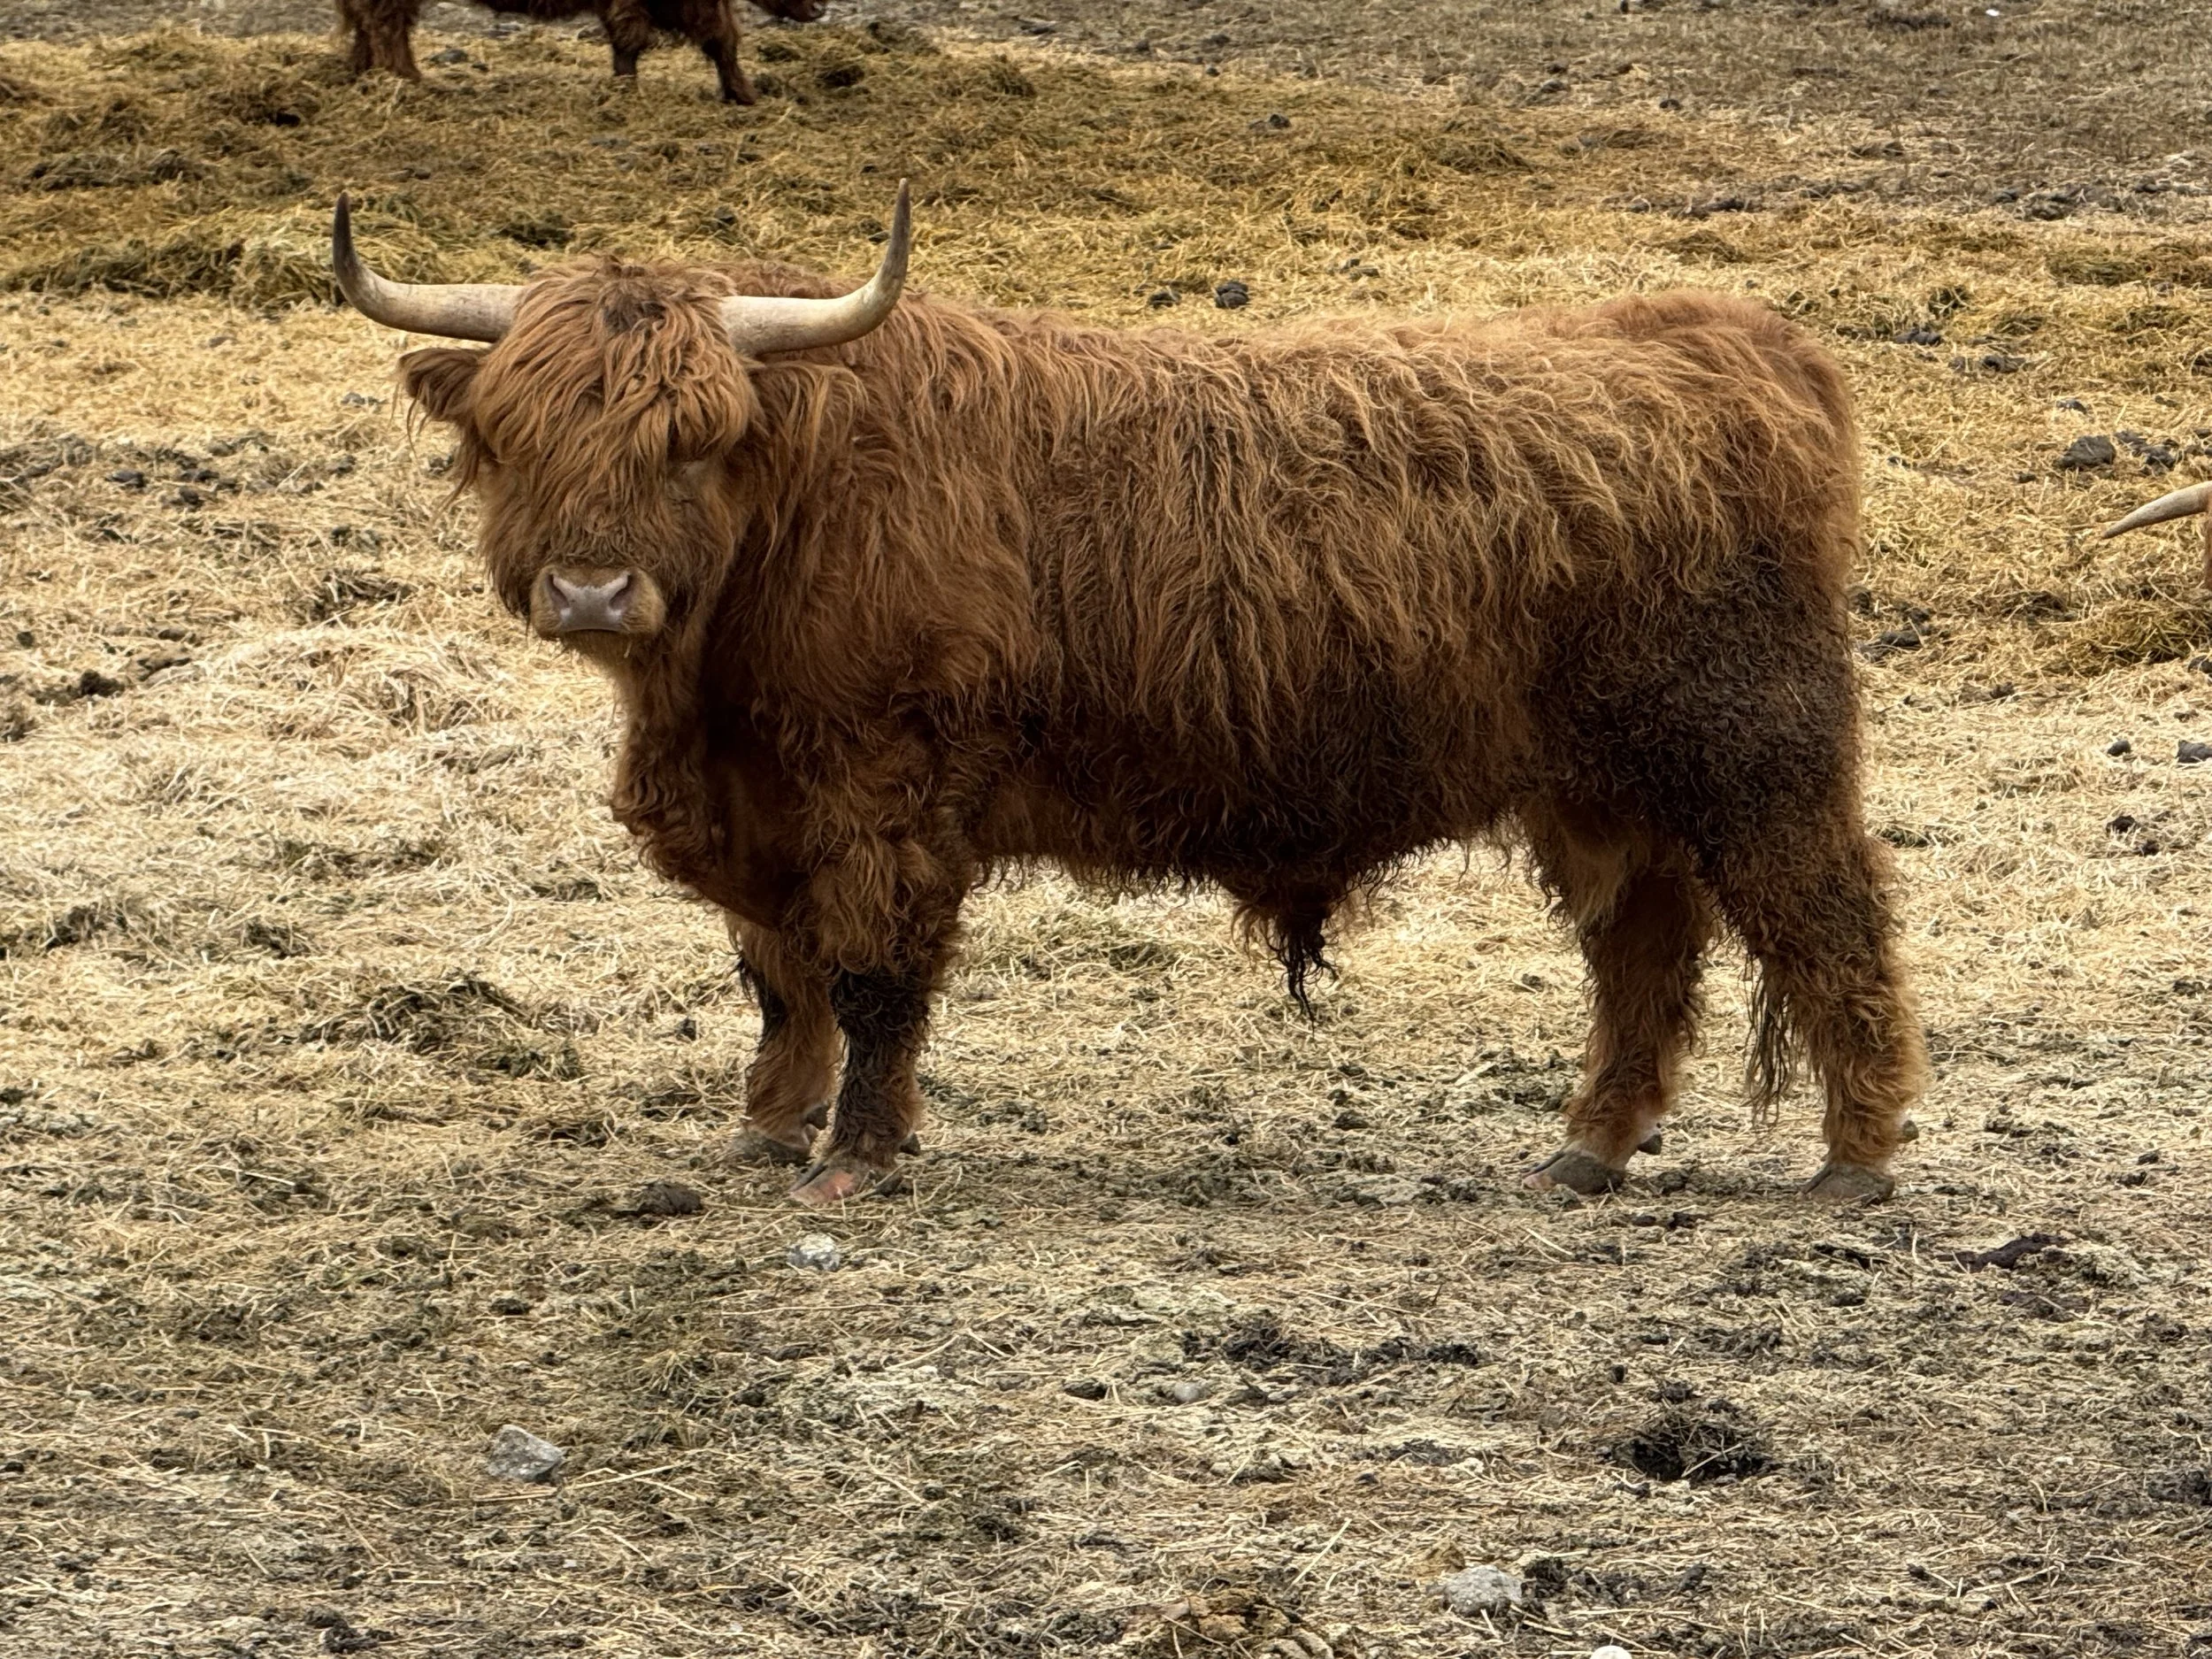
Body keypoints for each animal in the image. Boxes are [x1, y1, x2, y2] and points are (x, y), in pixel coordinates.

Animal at [330, 186, 1928, 1206]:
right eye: (512, 432)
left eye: (694, 435)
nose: (592, 592)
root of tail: (1726, 337)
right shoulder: (765, 810)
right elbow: (779, 976)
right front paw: (766, 1132)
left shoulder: (887, 786)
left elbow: (874, 973)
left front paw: (859, 1155)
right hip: (1602, 790)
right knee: (1644, 952)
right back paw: (1586, 1150)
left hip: (1756, 753)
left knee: (1826, 916)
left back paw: (1854, 1160)